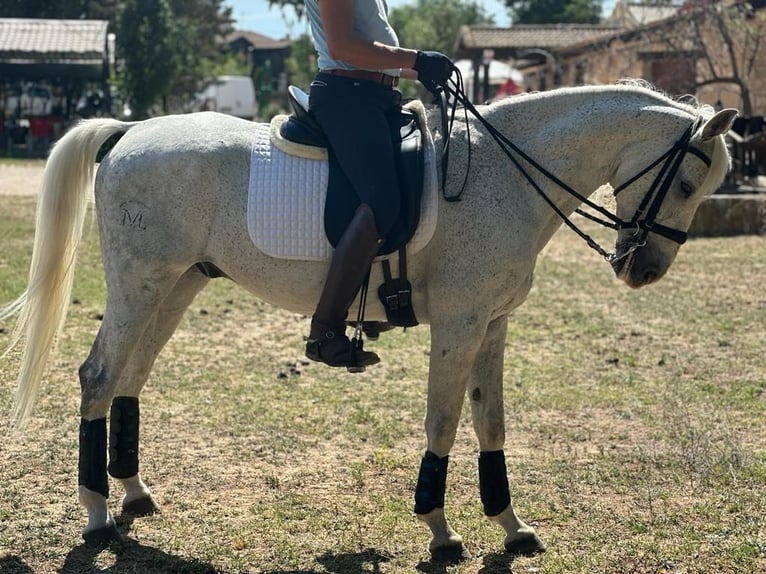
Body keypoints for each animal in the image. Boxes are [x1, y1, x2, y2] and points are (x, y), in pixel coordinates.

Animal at [3, 83, 740, 564]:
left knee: (131, 376)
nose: (643, 270)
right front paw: (440, 530)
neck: (504, 174)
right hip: (140, 284)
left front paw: (511, 525)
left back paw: (132, 495)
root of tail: (131, 130)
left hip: (178, 284)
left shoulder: (493, 324)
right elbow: (443, 421)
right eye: (685, 184)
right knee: (99, 375)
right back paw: (97, 515)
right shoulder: (460, 323)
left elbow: (490, 422)